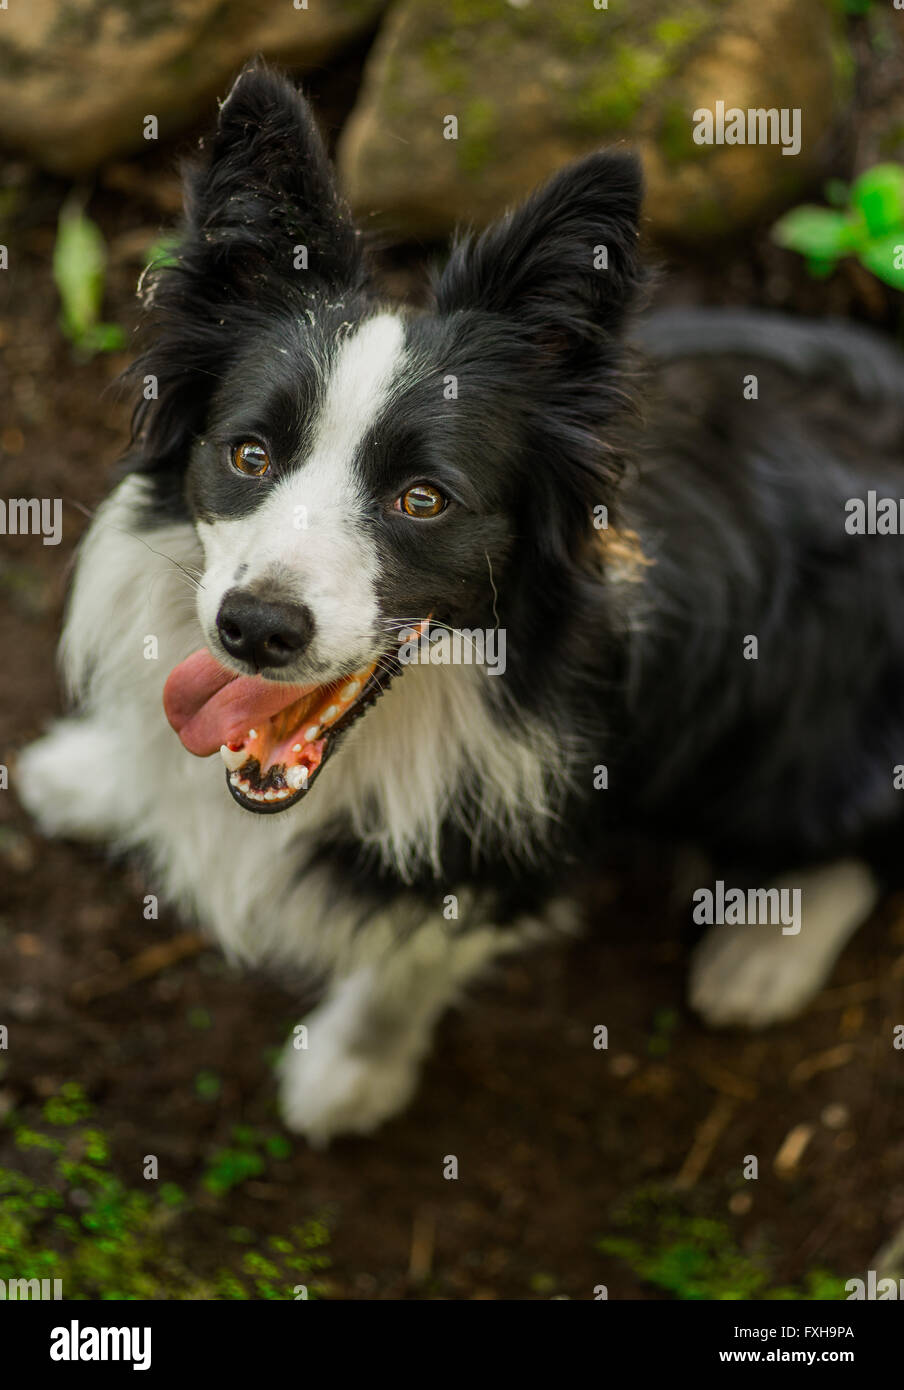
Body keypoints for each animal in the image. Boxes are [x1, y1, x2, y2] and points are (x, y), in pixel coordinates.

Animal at [19, 65, 901, 1139]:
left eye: (423, 499)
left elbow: (412, 964)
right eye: (249, 455)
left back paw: (762, 956)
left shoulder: (517, 835)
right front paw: (96, 775)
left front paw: (349, 1074)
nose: (255, 630)